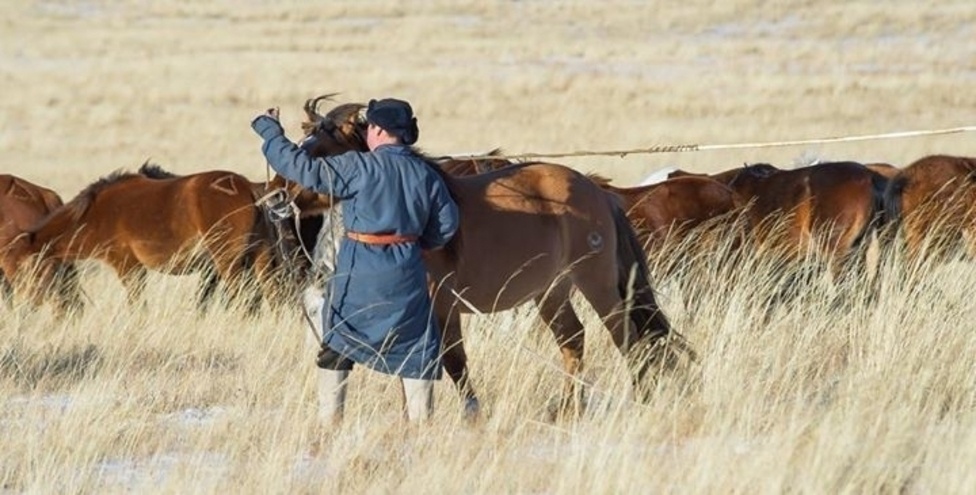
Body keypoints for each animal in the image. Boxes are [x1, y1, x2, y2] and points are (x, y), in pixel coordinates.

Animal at [298, 95, 692, 412]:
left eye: (325, 142)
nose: (289, 193)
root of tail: (598, 192)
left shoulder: (442, 306)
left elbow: (453, 361)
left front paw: (472, 414)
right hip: (551, 291)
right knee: (574, 339)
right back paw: (568, 406)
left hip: (596, 282)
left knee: (626, 336)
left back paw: (639, 398)